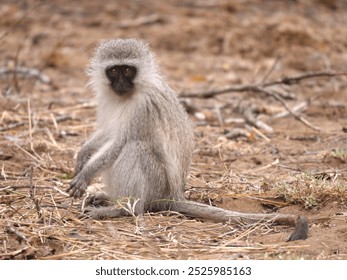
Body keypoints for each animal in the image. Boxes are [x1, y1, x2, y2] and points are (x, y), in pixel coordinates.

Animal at [66, 38, 308, 242]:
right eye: (114, 70)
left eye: (127, 70)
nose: (121, 84)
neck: (127, 96)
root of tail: (174, 197)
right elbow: (108, 132)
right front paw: (83, 155)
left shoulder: (144, 108)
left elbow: (120, 142)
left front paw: (86, 174)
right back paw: (109, 198)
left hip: (157, 188)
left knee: (136, 148)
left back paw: (123, 208)